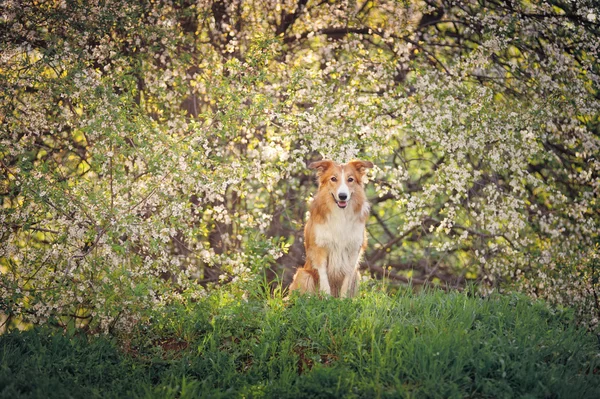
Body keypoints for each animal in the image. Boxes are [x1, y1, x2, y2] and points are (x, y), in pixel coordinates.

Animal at [288, 159, 372, 296]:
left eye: (350, 179)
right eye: (333, 179)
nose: (342, 196)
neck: (341, 214)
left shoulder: (353, 251)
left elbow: (346, 281)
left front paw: (343, 299)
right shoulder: (320, 248)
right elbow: (324, 280)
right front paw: (327, 298)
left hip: (357, 275)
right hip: (304, 274)